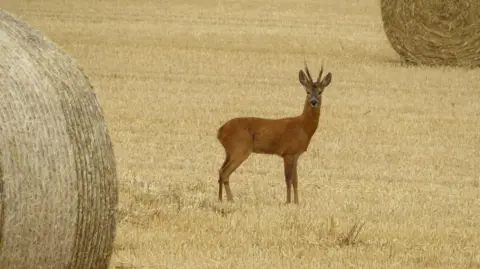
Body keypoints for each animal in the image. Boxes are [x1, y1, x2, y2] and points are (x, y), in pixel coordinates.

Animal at [216, 60, 332, 203]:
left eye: (320, 92)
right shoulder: (288, 153)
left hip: (229, 151)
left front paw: (297, 202)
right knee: (225, 172)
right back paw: (231, 200)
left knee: (220, 170)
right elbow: (288, 180)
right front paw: (287, 202)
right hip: (240, 149)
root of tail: (220, 131)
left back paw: (220, 199)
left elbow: (295, 181)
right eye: (308, 92)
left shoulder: (296, 154)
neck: (302, 127)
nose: (314, 102)